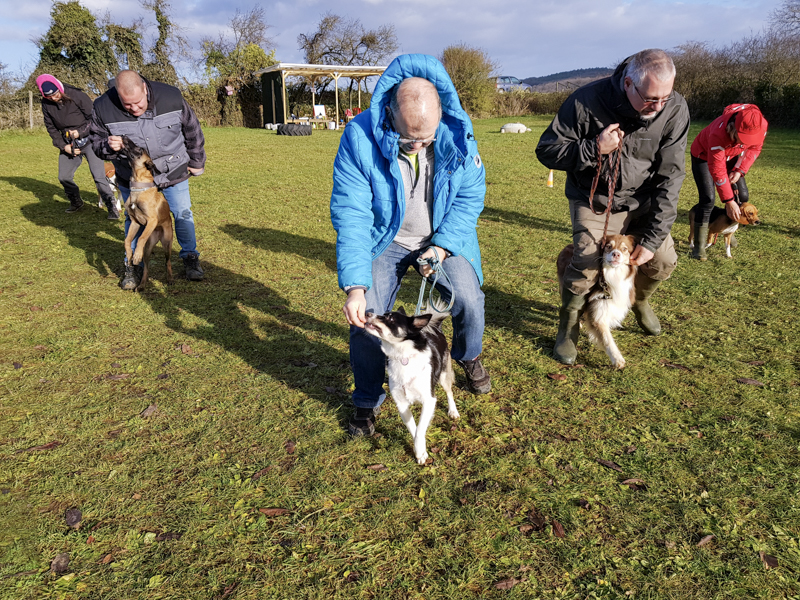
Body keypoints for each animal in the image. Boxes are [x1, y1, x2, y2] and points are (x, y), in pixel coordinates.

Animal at [122, 138, 173, 292]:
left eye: (139, 149)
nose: (124, 136)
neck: (138, 190)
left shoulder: (151, 221)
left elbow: (140, 238)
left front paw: (136, 254)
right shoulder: (135, 222)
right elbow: (127, 240)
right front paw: (130, 254)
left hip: (167, 243)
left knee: (168, 262)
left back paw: (170, 278)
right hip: (149, 248)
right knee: (146, 268)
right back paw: (142, 284)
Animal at [556, 236, 636, 370]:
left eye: (625, 249)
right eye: (608, 246)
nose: (616, 254)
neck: (613, 276)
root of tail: (569, 245)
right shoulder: (598, 316)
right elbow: (607, 339)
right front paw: (617, 359)